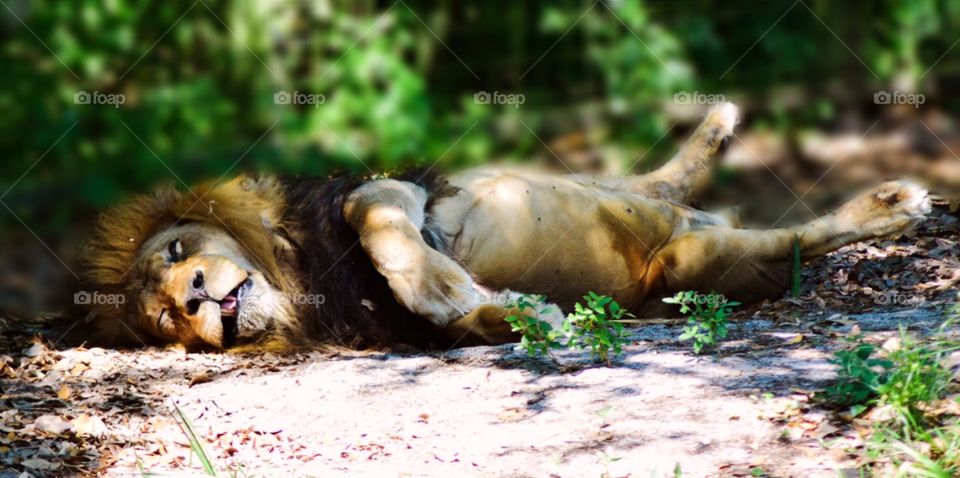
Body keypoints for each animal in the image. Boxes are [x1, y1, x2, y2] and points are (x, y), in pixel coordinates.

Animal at [74, 103, 931, 351]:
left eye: (180, 250)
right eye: (164, 321)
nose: (191, 298)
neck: (293, 275)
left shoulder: (385, 187)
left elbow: (377, 222)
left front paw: (456, 290)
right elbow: (460, 317)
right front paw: (502, 313)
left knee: (649, 182)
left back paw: (718, 125)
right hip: (691, 258)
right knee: (794, 240)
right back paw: (890, 204)